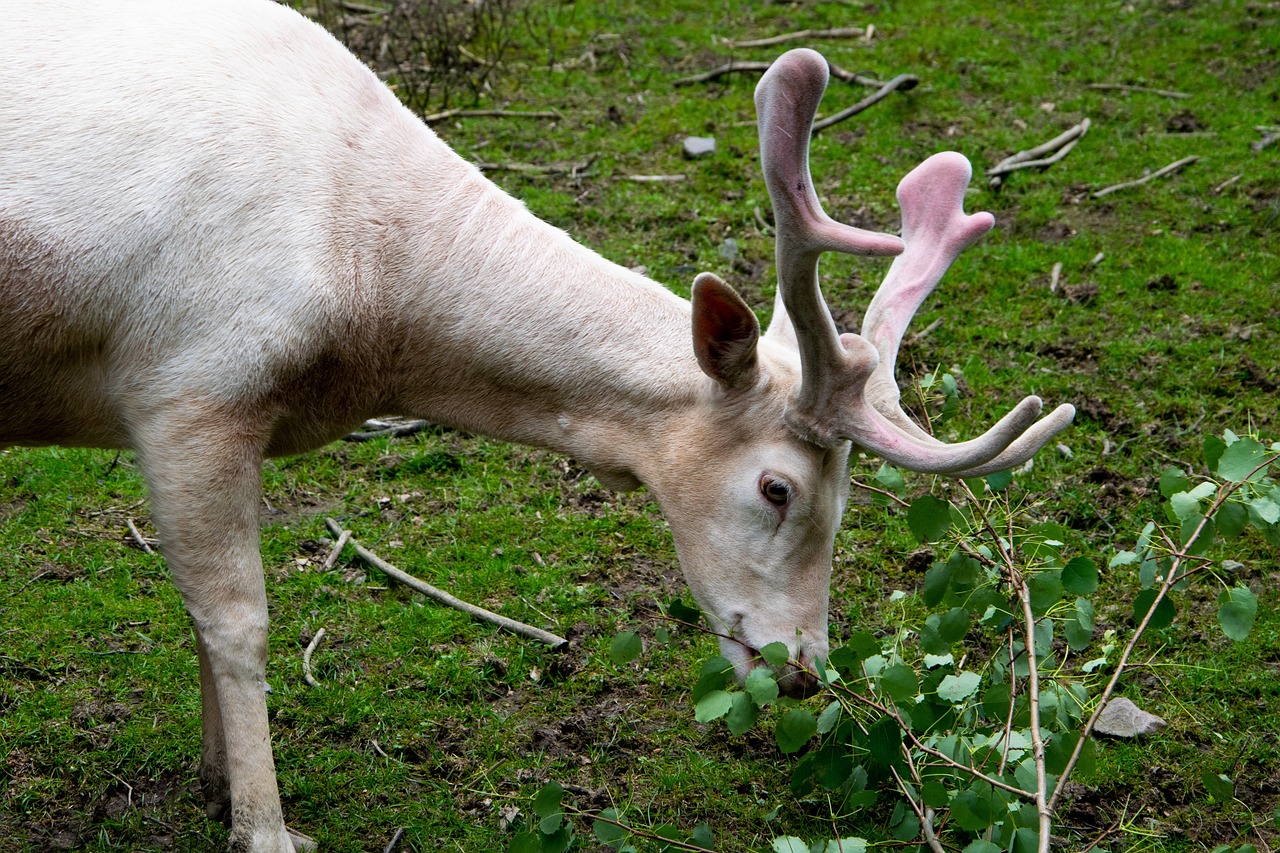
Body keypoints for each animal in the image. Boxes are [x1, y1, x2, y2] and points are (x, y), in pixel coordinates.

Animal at [0, 3, 1075, 845]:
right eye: (778, 486)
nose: (804, 668)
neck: (367, 302)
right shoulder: (189, 384)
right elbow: (237, 620)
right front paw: (264, 826)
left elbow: (197, 613)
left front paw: (218, 784)